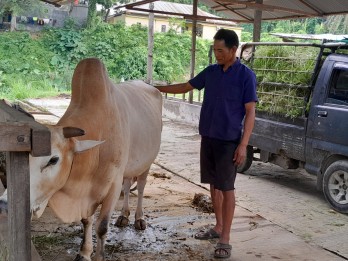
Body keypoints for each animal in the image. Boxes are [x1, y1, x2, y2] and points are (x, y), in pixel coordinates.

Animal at [9, 58, 162, 258]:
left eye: (53, 160)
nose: (6, 202)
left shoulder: (113, 185)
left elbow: (102, 227)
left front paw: (98, 256)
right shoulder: (87, 195)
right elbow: (86, 221)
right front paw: (84, 252)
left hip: (147, 162)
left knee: (142, 187)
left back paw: (139, 218)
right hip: (130, 167)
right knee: (129, 184)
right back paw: (123, 215)